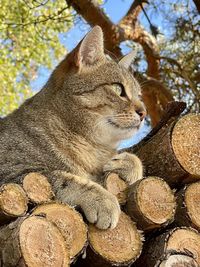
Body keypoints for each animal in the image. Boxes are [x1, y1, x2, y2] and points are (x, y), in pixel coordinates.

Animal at [0, 25, 147, 230]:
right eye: (118, 89)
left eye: (139, 95)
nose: (144, 112)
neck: (93, 149)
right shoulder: (11, 171)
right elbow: (61, 177)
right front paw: (102, 198)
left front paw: (126, 164)